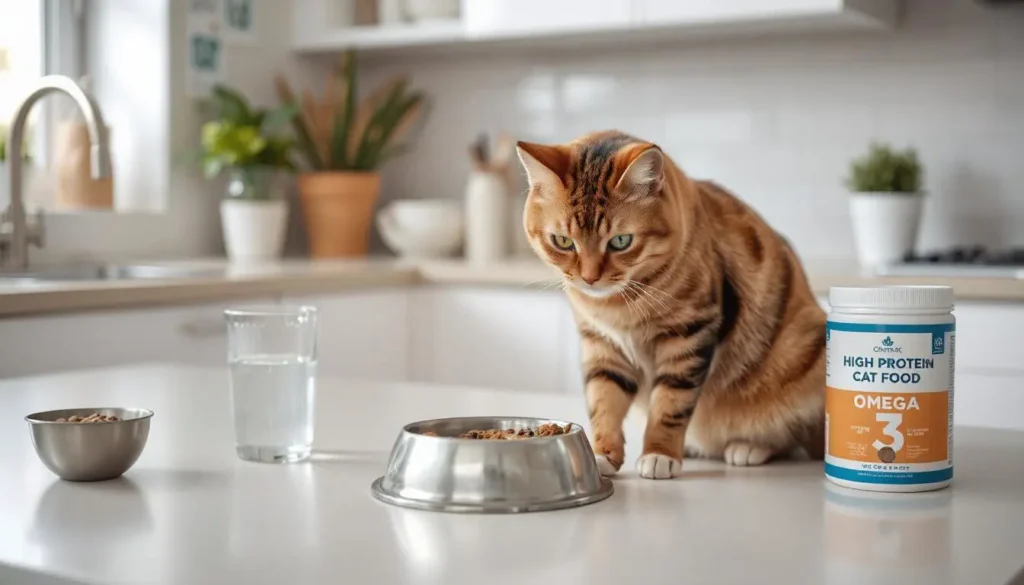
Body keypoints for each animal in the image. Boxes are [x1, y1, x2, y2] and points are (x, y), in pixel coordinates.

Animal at [516, 133, 827, 481]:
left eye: (621, 241)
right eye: (563, 242)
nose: (590, 278)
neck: (618, 303)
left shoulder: (690, 333)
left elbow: (671, 403)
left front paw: (659, 454)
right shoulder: (601, 341)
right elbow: (603, 398)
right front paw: (601, 454)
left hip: (805, 349)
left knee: (790, 435)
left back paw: (748, 447)